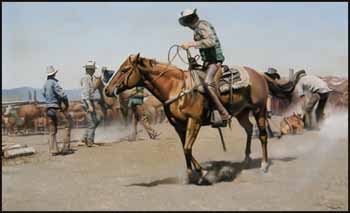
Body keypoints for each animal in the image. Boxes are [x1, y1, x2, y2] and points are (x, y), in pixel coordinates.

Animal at [104, 53, 290, 183]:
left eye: (124, 70)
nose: (107, 90)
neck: (176, 88)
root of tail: (259, 74)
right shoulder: (178, 125)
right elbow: (186, 148)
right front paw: (193, 173)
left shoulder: (194, 121)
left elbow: (187, 148)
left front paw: (201, 173)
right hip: (242, 113)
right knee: (249, 130)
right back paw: (246, 159)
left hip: (259, 110)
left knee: (263, 135)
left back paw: (264, 165)